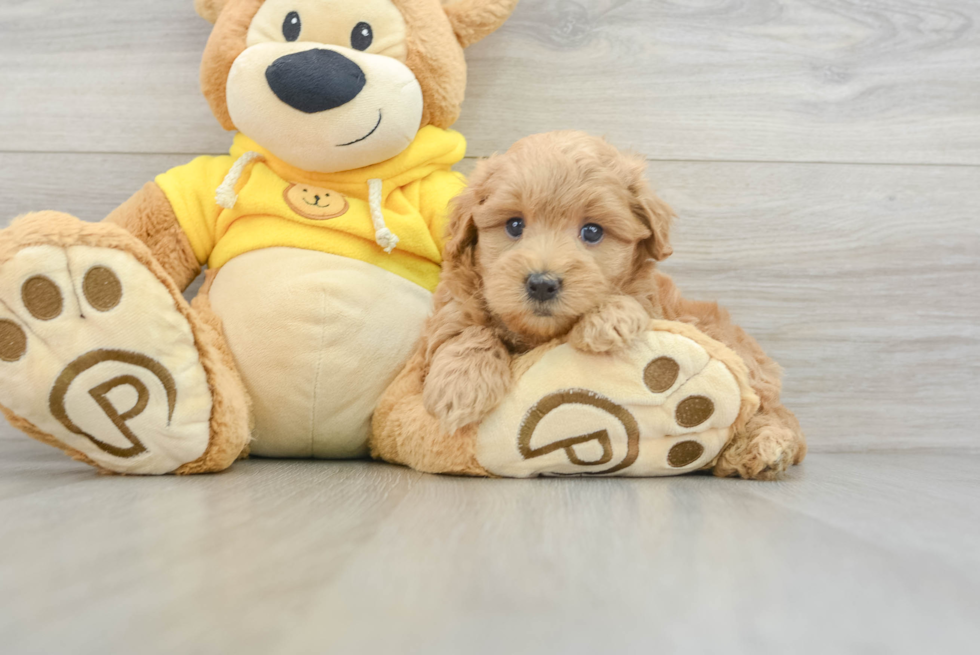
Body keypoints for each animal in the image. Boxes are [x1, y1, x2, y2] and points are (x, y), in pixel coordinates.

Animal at [420, 132, 804, 482]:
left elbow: (632, 302)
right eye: (514, 225)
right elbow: (464, 332)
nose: (542, 283)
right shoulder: (453, 305)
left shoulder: (653, 302)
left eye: (592, 232)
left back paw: (763, 449)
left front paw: (607, 319)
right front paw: (462, 386)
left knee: (773, 413)